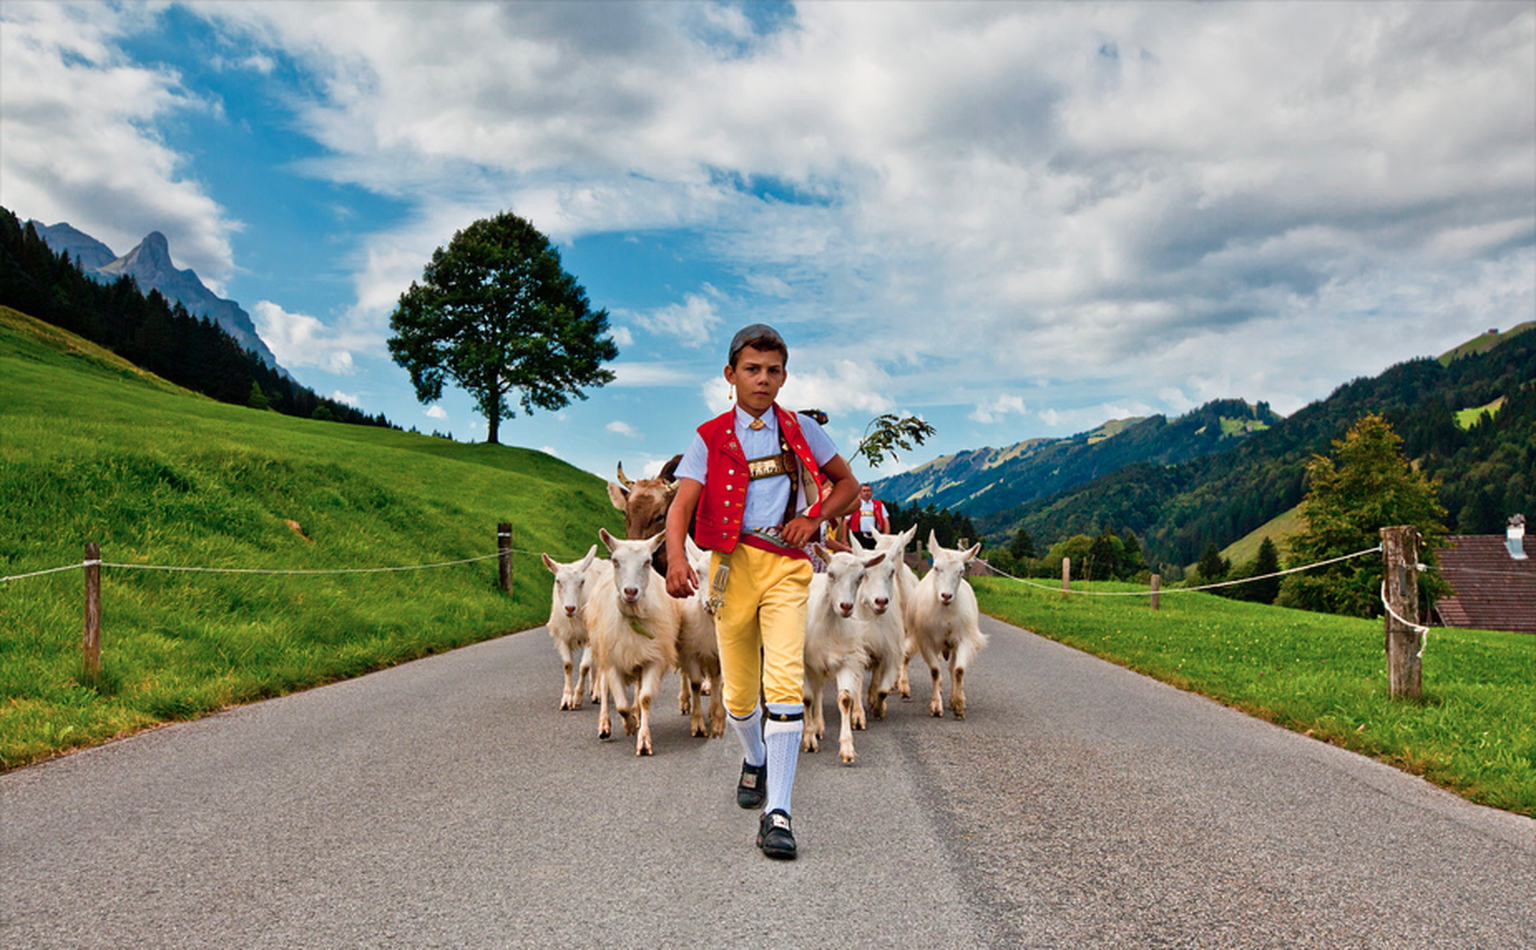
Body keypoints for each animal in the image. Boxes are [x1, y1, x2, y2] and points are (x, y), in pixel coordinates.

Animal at [540, 544, 611, 707]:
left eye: (582, 581)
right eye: (558, 581)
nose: (570, 608)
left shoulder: (590, 636)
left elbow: (584, 666)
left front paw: (577, 698)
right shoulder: (562, 636)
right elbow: (568, 665)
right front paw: (567, 699)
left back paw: (598, 692)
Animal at [586, 525, 678, 753]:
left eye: (647, 562)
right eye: (616, 561)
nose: (630, 591)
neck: (633, 617)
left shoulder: (652, 658)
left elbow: (644, 698)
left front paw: (643, 740)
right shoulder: (612, 660)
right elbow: (620, 705)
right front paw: (628, 724)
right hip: (602, 652)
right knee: (604, 688)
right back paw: (604, 726)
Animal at [672, 534, 724, 734]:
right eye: (698, 572)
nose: (710, 603)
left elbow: (717, 679)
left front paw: (716, 715)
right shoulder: (691, 651)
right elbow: (694, 683)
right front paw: (698, 723)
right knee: (684, 675)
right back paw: (685, 702)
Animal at [804, 544, 890, 759]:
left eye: (861, 576)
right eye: (831, 574)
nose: (846, 606)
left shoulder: (846, 660)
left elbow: (844, 699)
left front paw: (847, 747)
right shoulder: (803, 662)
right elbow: (806, 699)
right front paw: (808, 739)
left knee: (819, 690)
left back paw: (819, 725)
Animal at [903, 528, 989, 713]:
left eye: (961, 571)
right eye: (936, 568)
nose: (946, 596)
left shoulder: (963, 640)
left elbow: (959, 670)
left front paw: (958, 703)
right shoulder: (926, 641)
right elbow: (935, 671)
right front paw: (936, 705)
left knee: (951, 669)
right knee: (905, 657)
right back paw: (904, 687)